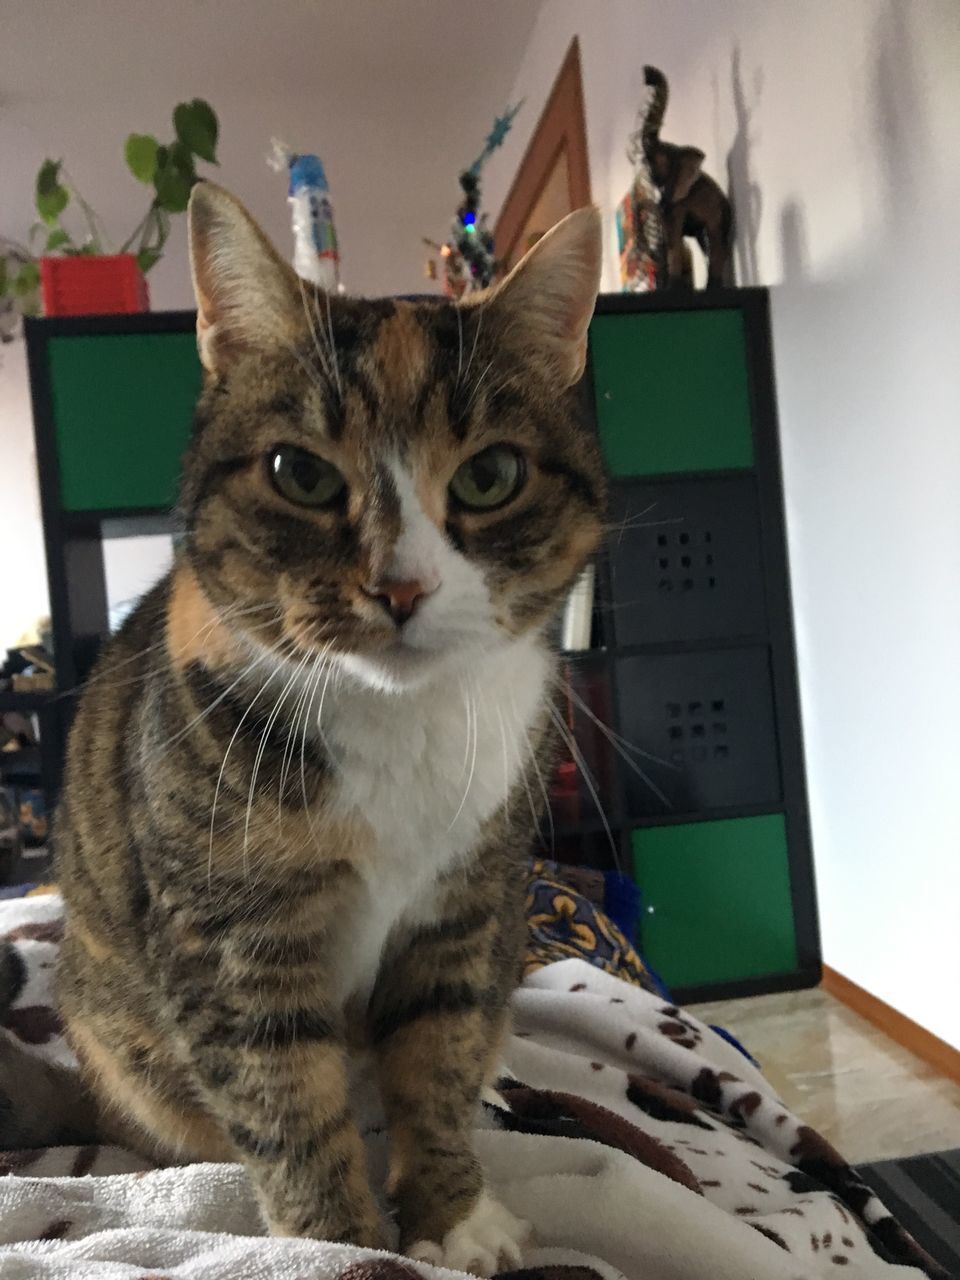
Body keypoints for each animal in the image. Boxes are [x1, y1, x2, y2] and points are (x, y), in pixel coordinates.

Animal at [7, 180, 604, 1269]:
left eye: (491, 476)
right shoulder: (234, 939)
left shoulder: (464, 906)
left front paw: (453, 1215)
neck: (403, 724)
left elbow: (437, 1056)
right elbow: (287, 1099)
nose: (402, 587)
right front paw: (343, 1247)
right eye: (301, 472)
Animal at [642, 65, 732, 290]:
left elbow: (673, 236)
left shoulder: (679, 202)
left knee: (715, 242)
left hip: (719, 214)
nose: (647, 74)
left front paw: (672, 288)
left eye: (658, 159)